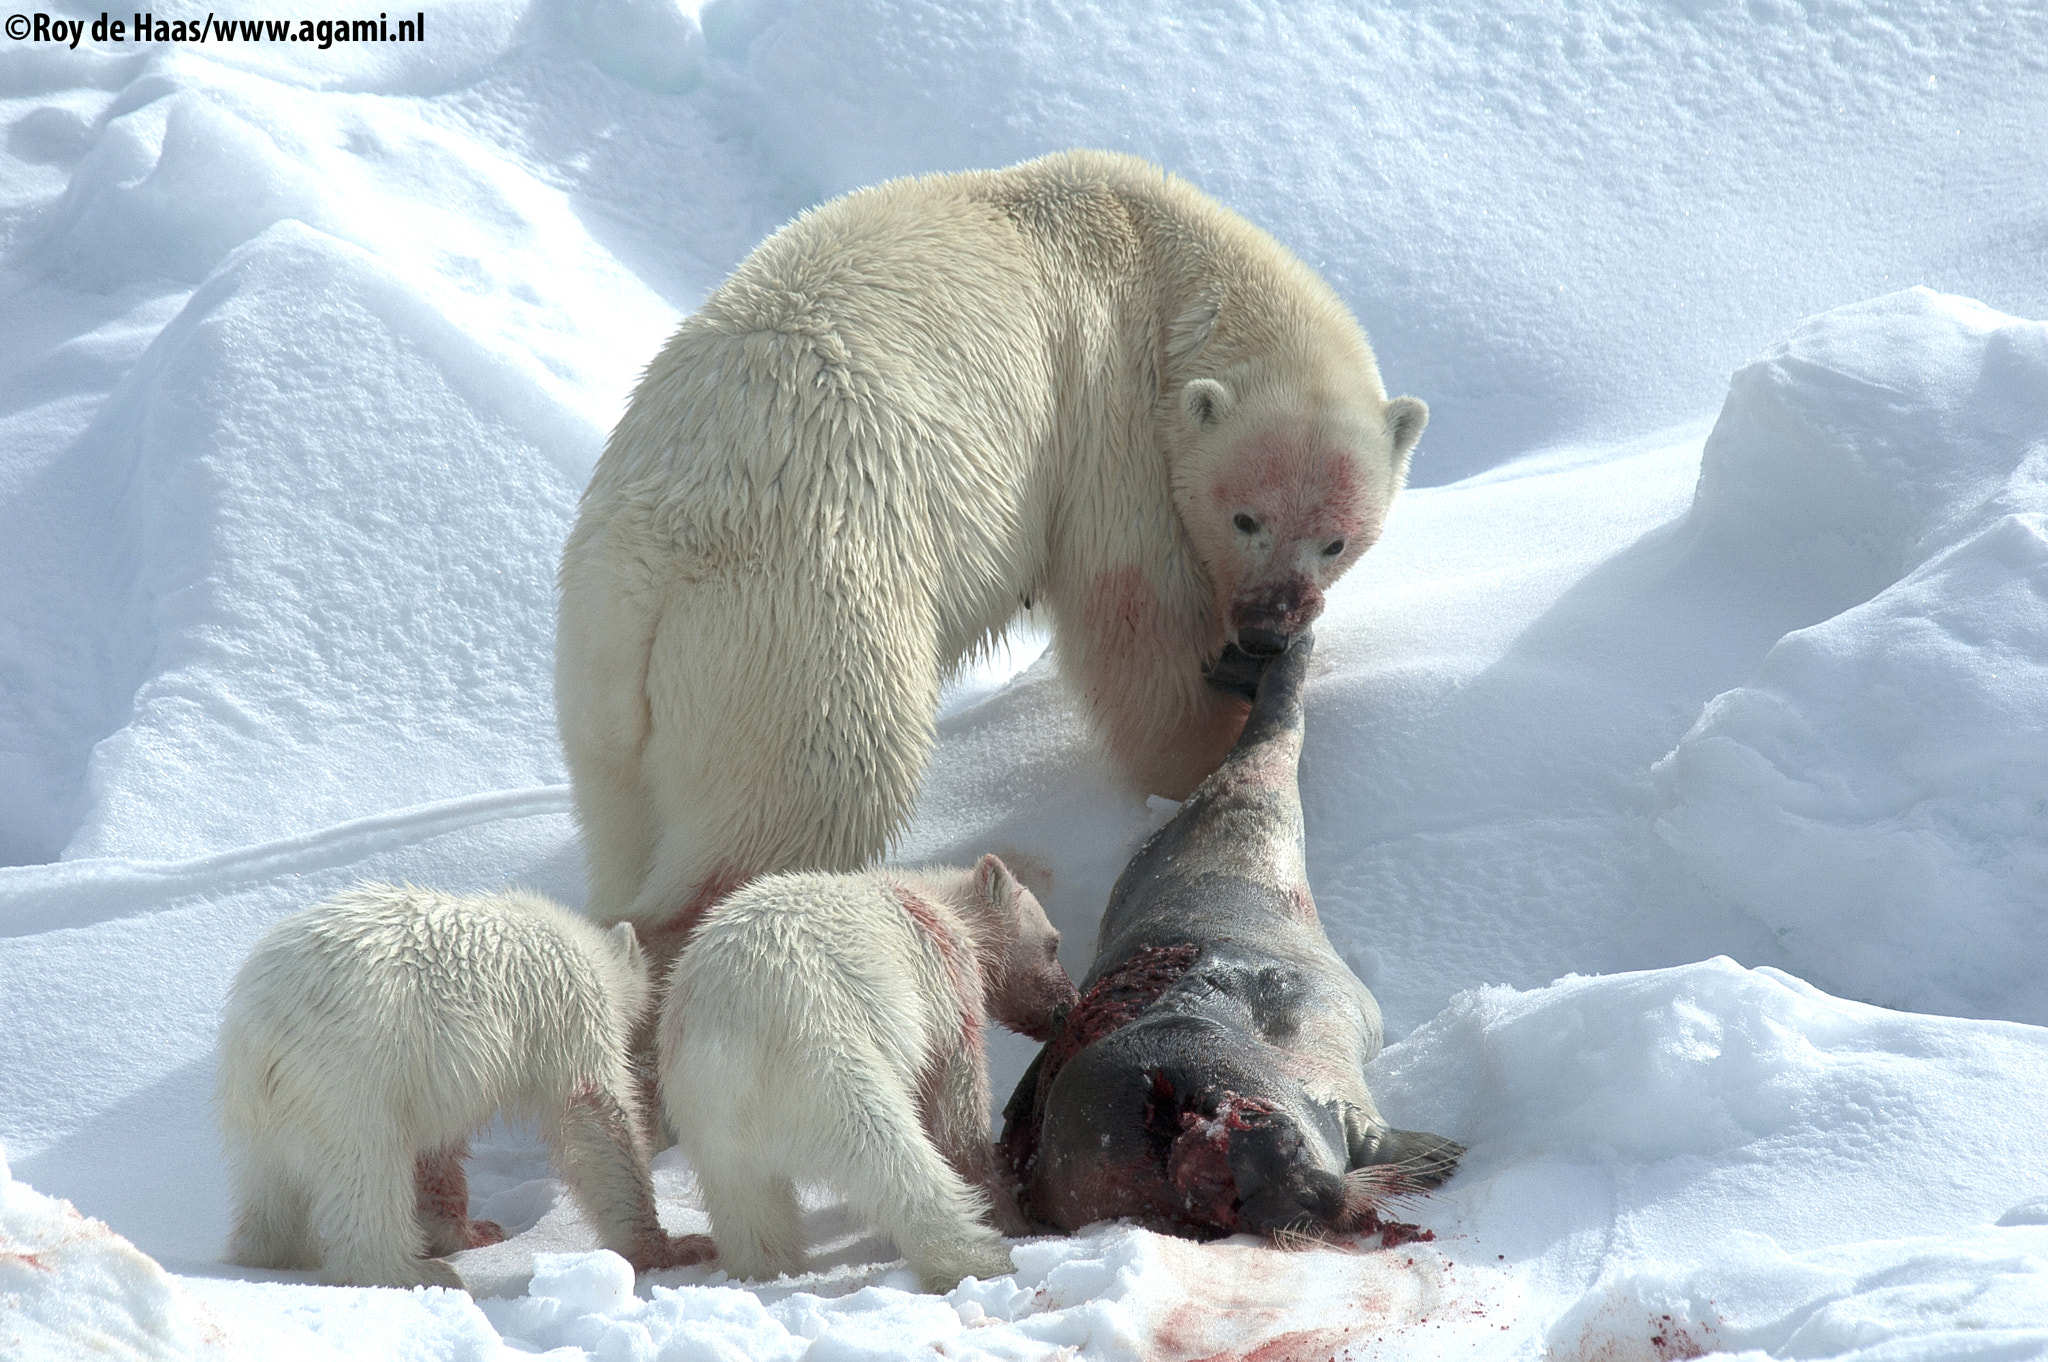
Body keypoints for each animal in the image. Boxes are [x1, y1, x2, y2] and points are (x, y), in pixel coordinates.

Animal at [215, 883, 714, 1289]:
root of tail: (261, 1031)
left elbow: (436, 1148)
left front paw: (472, 1232)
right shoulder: (566, 1004)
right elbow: (592, 1110)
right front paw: (671, 1247)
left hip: (262, 1109)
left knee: (268, 1186)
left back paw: (268, 1253)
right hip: (348, 1074)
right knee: (369, 1166)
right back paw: (415, 1271)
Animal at [556, 147, 1427, 951]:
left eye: (1336, 540)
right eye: (1245, 518)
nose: (1269, 626)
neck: (1162, 260)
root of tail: (651, 581)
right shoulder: (1116, 422)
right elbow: (1138, 623)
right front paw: (1206, 760)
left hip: (610, 702)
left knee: (624, 826)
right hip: (794, 631)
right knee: (816, 788)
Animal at [656, 855, 1079, 1292]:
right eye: (1054, 944)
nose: (1068, 1005)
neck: (933, 903)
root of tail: (730, 1042)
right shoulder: (944, 986)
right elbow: (956, 1109)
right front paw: (1009, 1209)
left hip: (708, 1121)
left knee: (749, 1206)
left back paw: (764, 1269)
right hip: (829, 1057)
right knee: (893, 1154)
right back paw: (981, 1257)